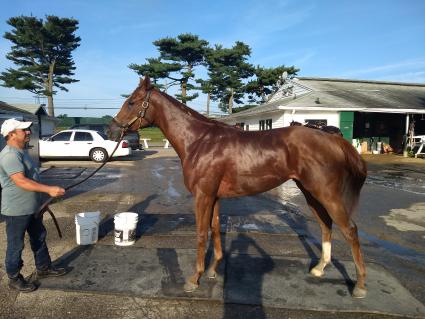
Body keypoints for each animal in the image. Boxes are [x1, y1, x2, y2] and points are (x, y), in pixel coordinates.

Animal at [109, 77, 368, 300]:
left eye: (131, 102)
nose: (111, 130)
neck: (199, 141)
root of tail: (333, 139)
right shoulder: (213, 196)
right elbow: (215, 230)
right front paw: (213, 270)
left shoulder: (203, 196)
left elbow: (201, 233)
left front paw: (194, 279)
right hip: (311, 194)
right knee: (326, 225)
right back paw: (320, 268)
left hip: (326, 194)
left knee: (350, 229)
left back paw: (360, 286)